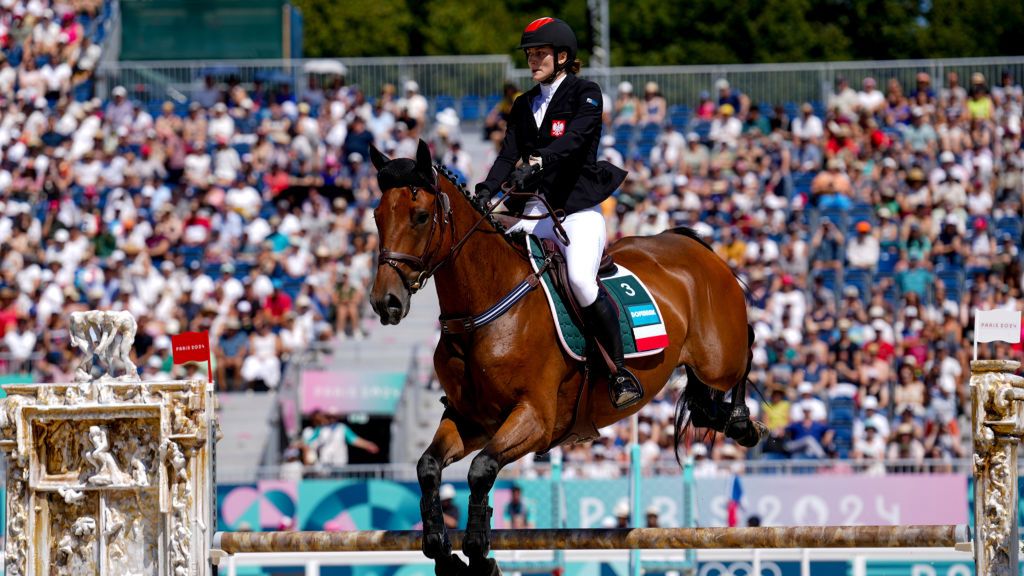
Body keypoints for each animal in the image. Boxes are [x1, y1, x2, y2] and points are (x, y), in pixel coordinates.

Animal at [372, 140, 765, 573]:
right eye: (377, 216)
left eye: (421, 216)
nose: (385, 302)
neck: (483, 312)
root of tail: (691, 244)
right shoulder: (471, 419)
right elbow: (428, 467)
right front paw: (441, 549)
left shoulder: (535, 419)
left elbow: (481, 470)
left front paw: (477, 551)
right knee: (701, 400)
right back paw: (717, 415)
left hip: (718, 357)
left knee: (746, 348)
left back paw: (742, 423)